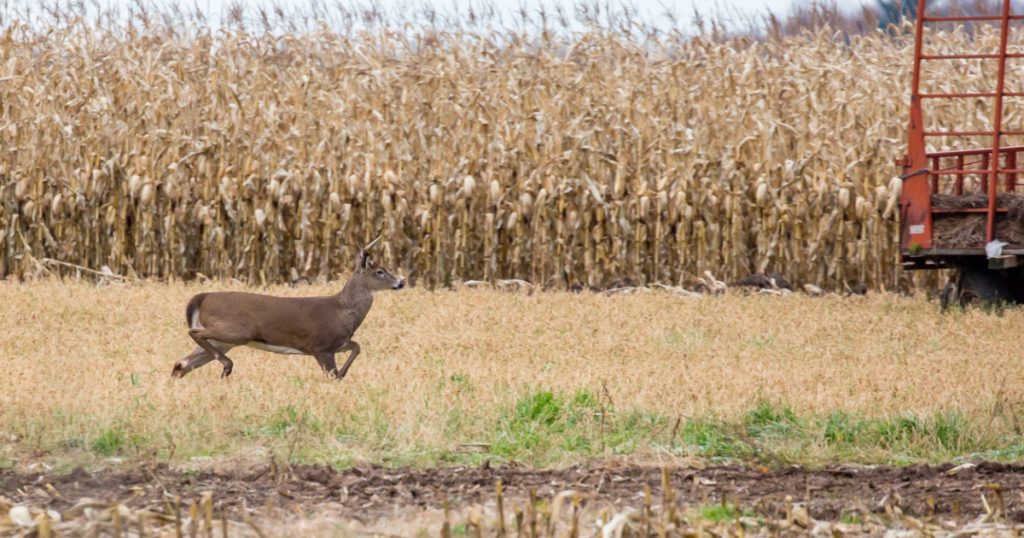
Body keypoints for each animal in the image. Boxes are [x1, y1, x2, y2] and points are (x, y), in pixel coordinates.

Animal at [171, 236, 404, 379]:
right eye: (380, 272)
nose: (401, 282)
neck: (341, 309)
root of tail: (202, 297)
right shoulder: (320, 346)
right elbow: (333, 372)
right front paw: (339, 377)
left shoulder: (337, 343)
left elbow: (356, 346)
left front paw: (343, 375)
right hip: (236, 331)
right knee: (194, 334)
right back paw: (227, 366)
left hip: (224, 341)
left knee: (181, 363)